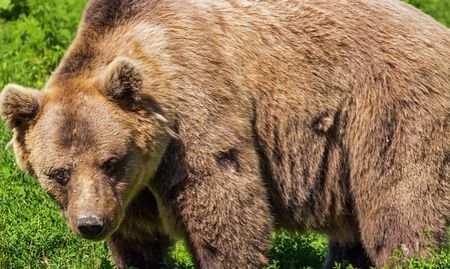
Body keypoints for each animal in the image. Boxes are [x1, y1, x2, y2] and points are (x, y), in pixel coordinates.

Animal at [0, 0, 450, 268]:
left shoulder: (196, 113)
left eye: (111, 162)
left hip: (389, 111)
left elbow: (224, 208)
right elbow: (139, 240)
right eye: (58, 173)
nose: (91, 223)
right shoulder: (135, 193)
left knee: (402, 206)